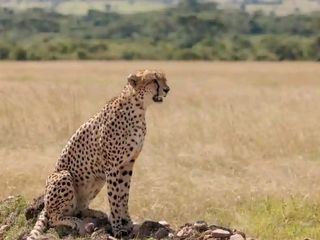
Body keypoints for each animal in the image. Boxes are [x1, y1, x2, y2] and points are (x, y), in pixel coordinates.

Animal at [26, 69, 170, 238]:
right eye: (154, 80)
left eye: (164, 79)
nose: (167, 89)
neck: (139, 108)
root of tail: (45, 204)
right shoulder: (113, 167)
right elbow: (115, 197)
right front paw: (118, 227)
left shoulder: (127, 164)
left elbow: (124, 195)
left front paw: (127, 222)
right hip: (63, 175)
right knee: (53, 218)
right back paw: (75, 222)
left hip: (97, 179)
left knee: (80, 209)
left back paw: (96, 213)